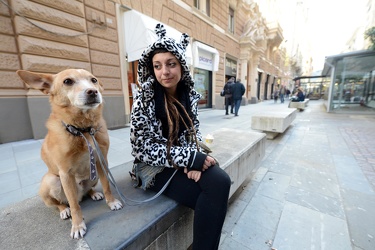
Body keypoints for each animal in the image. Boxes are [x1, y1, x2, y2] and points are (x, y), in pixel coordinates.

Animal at [16, 68, 122, 238]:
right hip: (52, 181)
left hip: (93, 176)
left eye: (93, 80)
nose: (93, 91)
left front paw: (111, 202)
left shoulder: (101, 162)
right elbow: (74, 206)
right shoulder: (65, 173)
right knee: (62, 203)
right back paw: (64, 210)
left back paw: (93, 193)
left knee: (86, 191)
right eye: (67, 81)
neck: (83, 130)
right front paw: (78, 225)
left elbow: (107, 186)